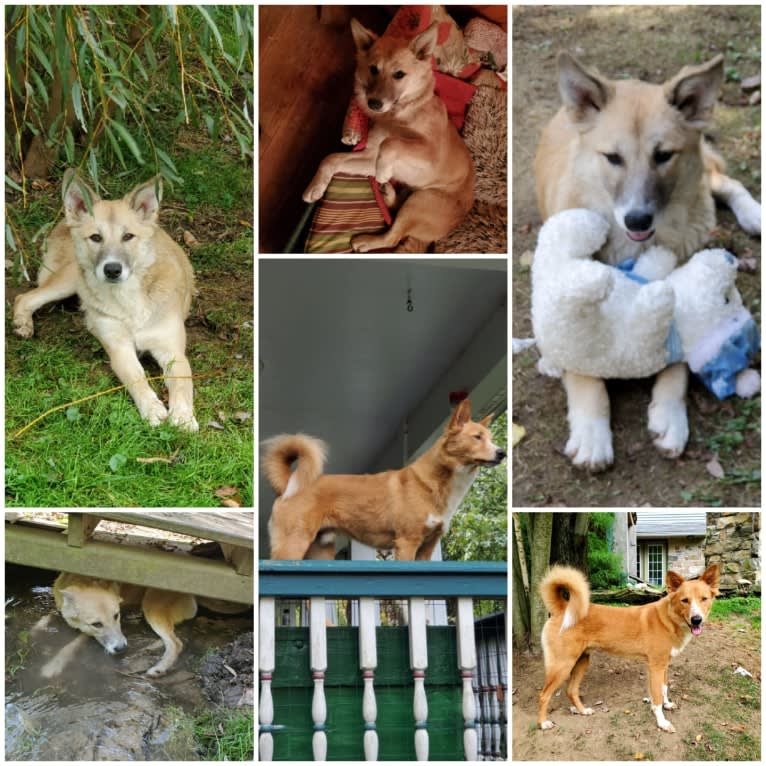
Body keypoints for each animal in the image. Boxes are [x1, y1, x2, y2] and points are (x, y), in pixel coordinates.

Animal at [13, 170, 198, 432]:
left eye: (128, 236)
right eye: (95, 237)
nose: (112, 270)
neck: (129, 298)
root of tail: (62, 223)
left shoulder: (172, 351)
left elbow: (183, 383)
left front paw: (183, 416)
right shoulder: (119, 348)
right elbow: (136, 377)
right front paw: (152, 408)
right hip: (71, 279)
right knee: (25, 297)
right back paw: (23, 323)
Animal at [304, 18, 474, 254]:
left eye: (399, 74)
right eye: (373, 69)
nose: (373, 104)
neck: (397, 114)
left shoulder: (430, 153)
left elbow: (392, 143)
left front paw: (384, 171)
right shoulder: (369, 157)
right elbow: (331, 158)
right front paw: (315, 187)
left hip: (421, 199)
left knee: (393, 237)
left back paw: (365, 241)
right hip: (414, 197)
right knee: (395, 216)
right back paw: (388, 194)